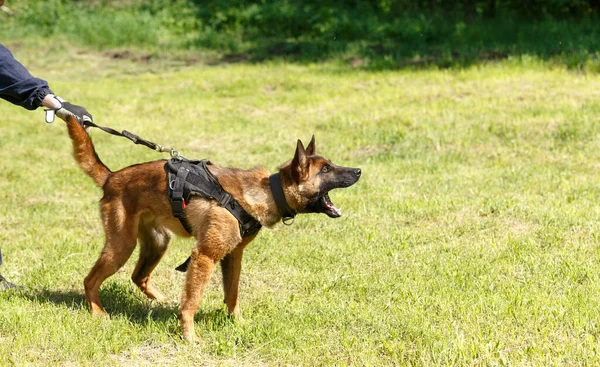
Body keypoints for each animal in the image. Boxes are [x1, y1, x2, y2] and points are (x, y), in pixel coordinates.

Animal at [63, 116, 360, 344]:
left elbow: (232, 295)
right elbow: (191, 303)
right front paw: (190, 337)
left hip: (157, 243)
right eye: (326, 169)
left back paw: (160, 300)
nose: (358, 170)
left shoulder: (233, 257)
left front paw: (238, 323)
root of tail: (111, 177)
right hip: (122, 246)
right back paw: (98, 312)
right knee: (91, 280)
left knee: (139, 276)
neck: (266, 192)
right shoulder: (205, 256)